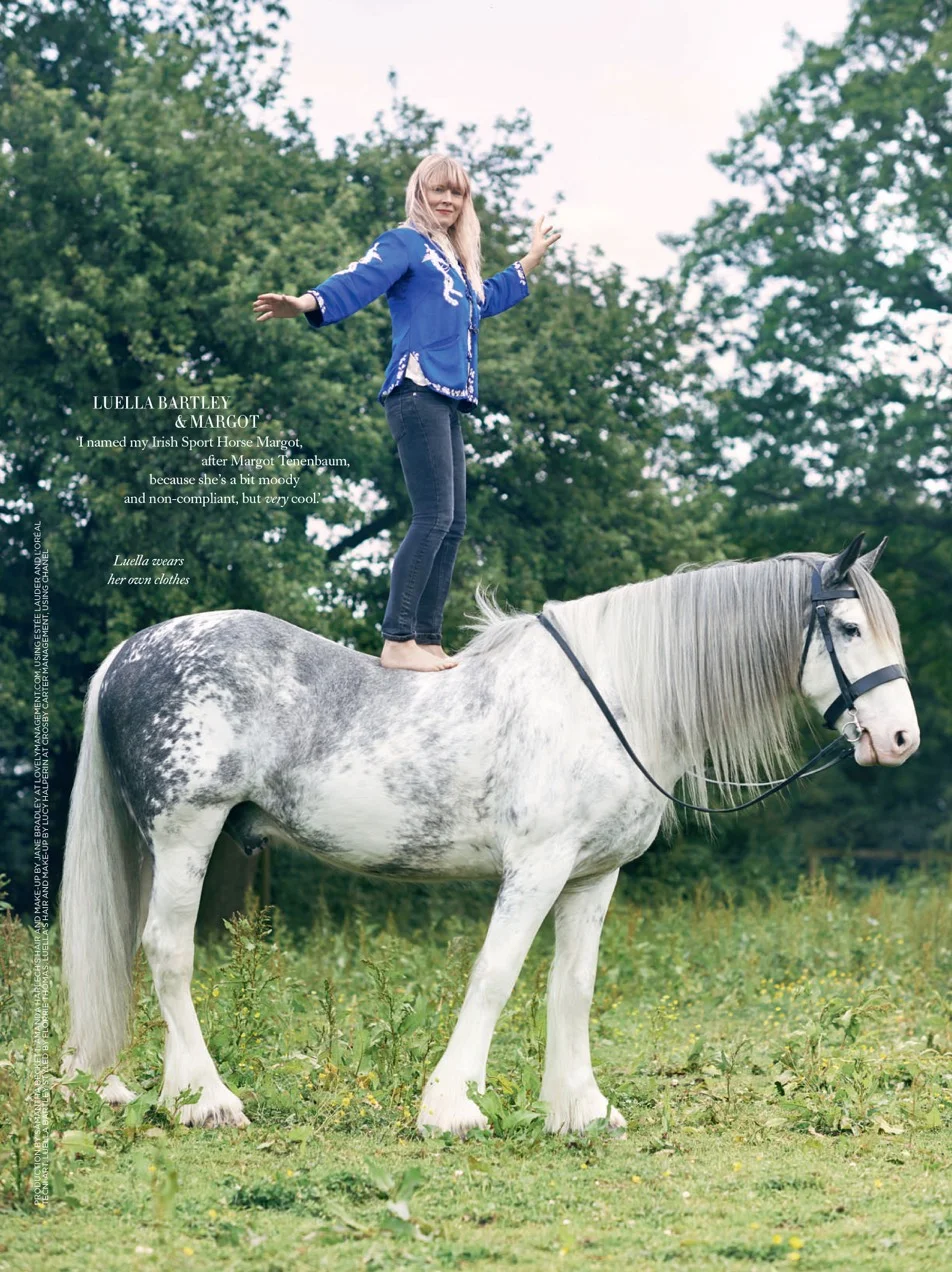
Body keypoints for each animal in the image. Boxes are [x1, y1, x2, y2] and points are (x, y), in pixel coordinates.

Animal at [59, 535, 919, 1134]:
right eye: (848, 626)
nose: (901, 739)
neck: (614, 697)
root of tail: (130, 651)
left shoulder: (592, 876)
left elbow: (572, 986)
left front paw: (581, 1110)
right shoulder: (537, 867)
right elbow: (496, 975)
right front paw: (452, 1108)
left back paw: (149, 1092)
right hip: (187, 833)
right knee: (169, 953)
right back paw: (209, 1100)